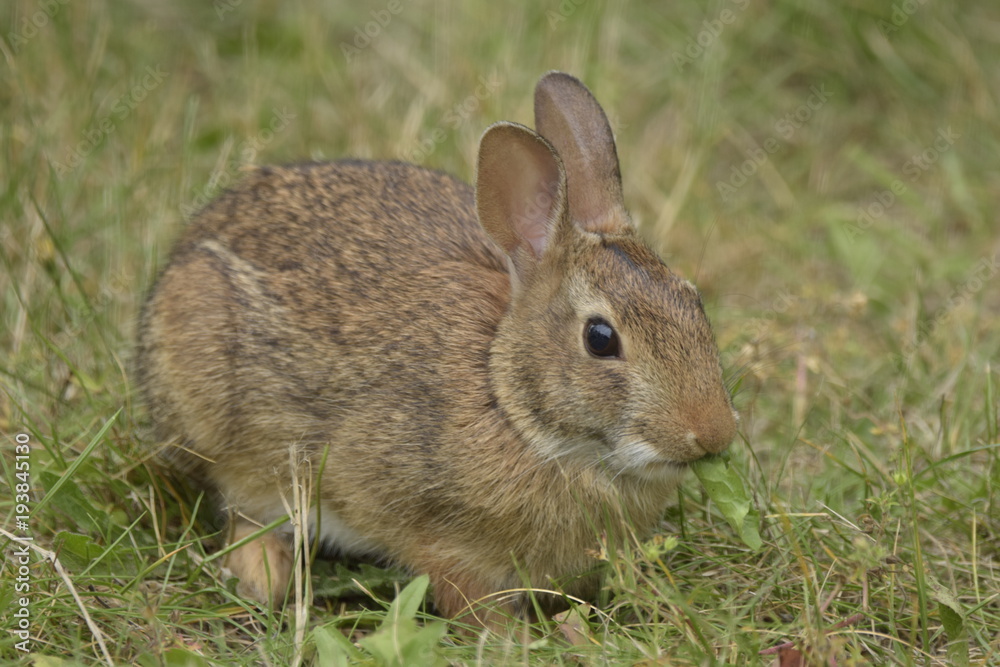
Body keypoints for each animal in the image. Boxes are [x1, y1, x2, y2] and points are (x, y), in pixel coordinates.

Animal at [139, 72, 736, 628]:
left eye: (694, 299)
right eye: (600, 339)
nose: (712, 434)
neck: (512, 405)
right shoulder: (439, 540)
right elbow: (465, 594)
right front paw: (514, 639)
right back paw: (266, 578)